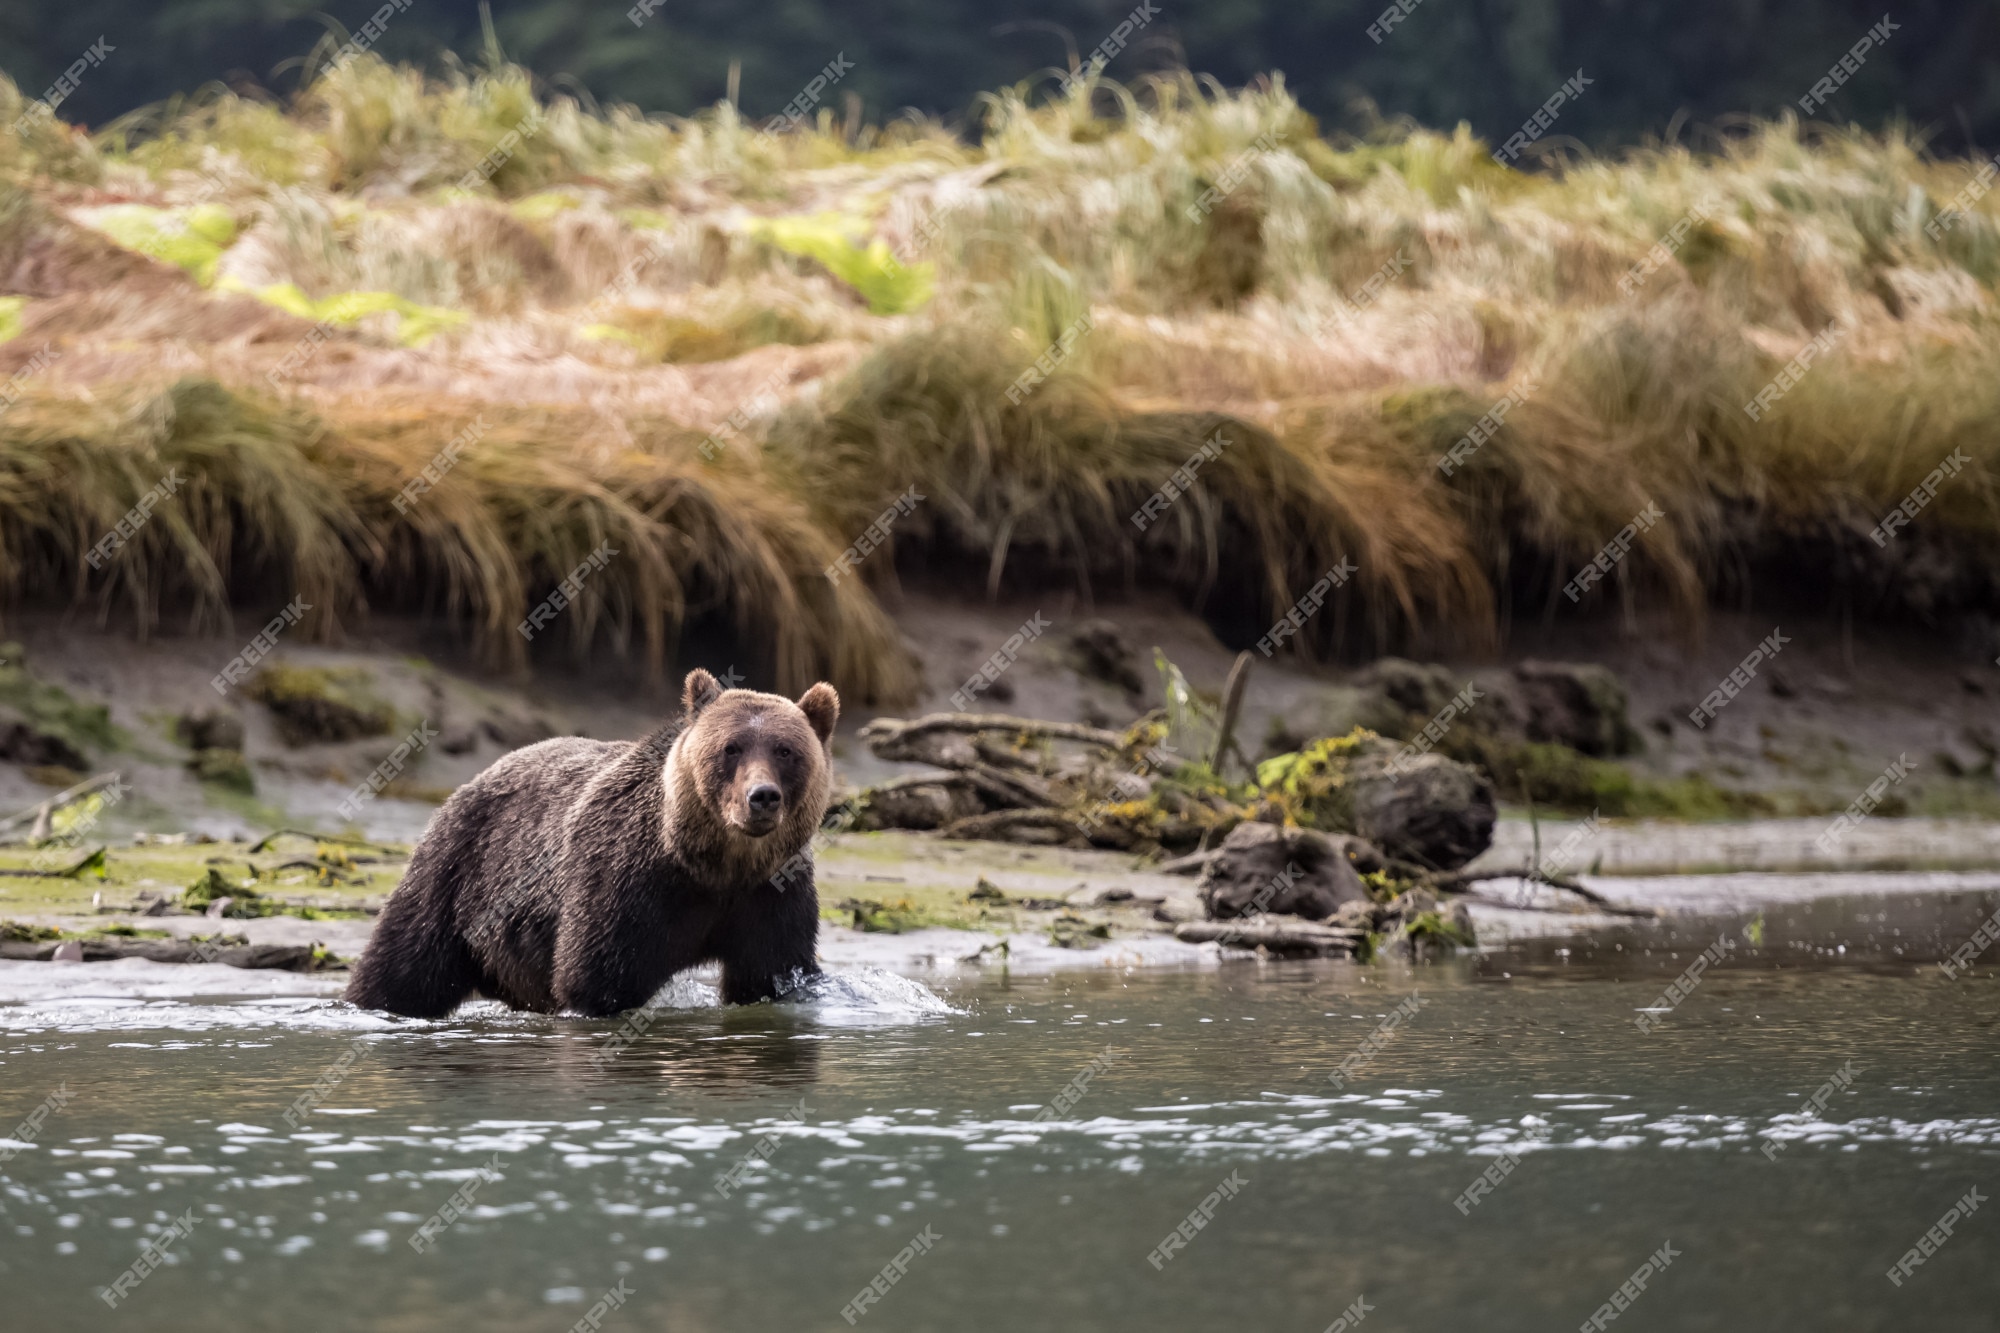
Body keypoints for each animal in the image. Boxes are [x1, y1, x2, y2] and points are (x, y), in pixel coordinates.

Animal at [344, 664, 836, 1016]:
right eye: (730, 748)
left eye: (785, 751)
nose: (762, 797)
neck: (714, 866)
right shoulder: (625, 879)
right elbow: (598, 978)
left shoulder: (772, 894)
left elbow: (771, 974)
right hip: (456, 869)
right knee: (404, 963)